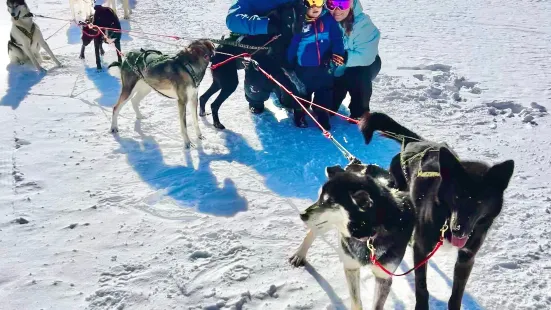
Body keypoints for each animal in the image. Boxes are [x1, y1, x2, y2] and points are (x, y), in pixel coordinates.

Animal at [294, 162, 414, 310]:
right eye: (320, 198)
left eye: (331, 202)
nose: (302, 214)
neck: (369, 236)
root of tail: (355, 163)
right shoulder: (351, 267)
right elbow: (356, 302)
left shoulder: (384, 277)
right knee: (312, 232)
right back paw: (299, 255)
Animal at [360, 112, 516, 310]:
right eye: (456, 196)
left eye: (480, 201)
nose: (459, 230)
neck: (445, 220)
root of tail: (413, 141)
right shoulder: (421, 250)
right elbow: (421, 287)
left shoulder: (466, 258)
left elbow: (456, 294)